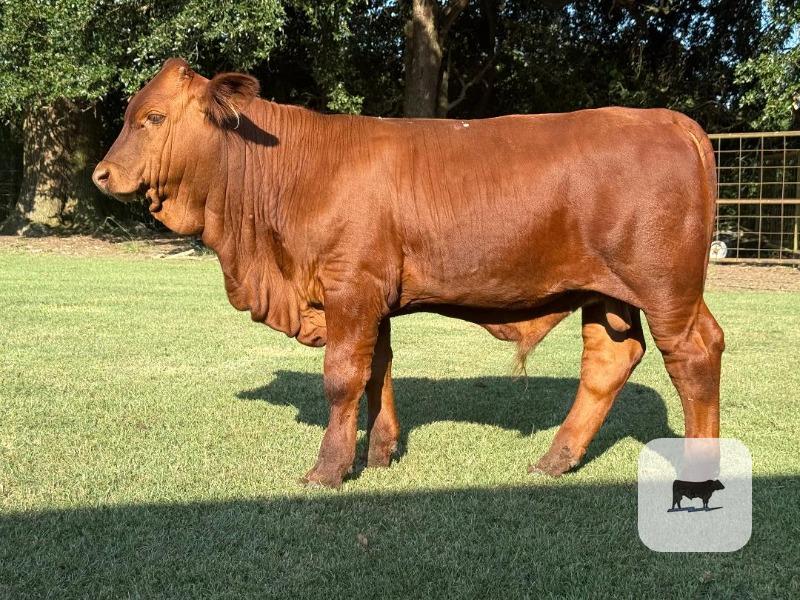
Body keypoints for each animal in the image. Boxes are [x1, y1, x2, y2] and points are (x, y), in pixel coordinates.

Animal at [92, 58, 724, 488]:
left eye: (152, 117)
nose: (101, 174)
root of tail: (667, 119)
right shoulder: (370, 296)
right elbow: (378, 369)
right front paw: (379, 453)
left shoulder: (350, 286)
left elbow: (342, 376)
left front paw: (327, 469)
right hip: (608, 294)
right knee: (610, 359)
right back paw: (553, 460)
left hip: (666, 287)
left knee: (695, 354)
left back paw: (700, 472)